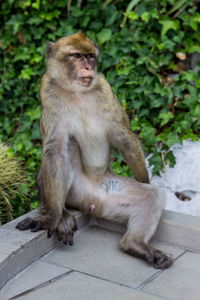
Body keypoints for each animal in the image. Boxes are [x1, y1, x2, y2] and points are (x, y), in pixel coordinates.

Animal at [16, 31, 172, 268]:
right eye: (76, 56)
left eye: (89, 57)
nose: (88, 67)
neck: (76, 91)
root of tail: (91, 202)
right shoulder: (47, 91)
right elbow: (54, 150)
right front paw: (53, 217)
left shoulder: (104, 89)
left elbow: (125, 139)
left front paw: (145, 180)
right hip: (76, 193)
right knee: (68, 146)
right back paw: (60, 214)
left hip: (108, 192)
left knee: (151, 196)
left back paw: (134, 244)